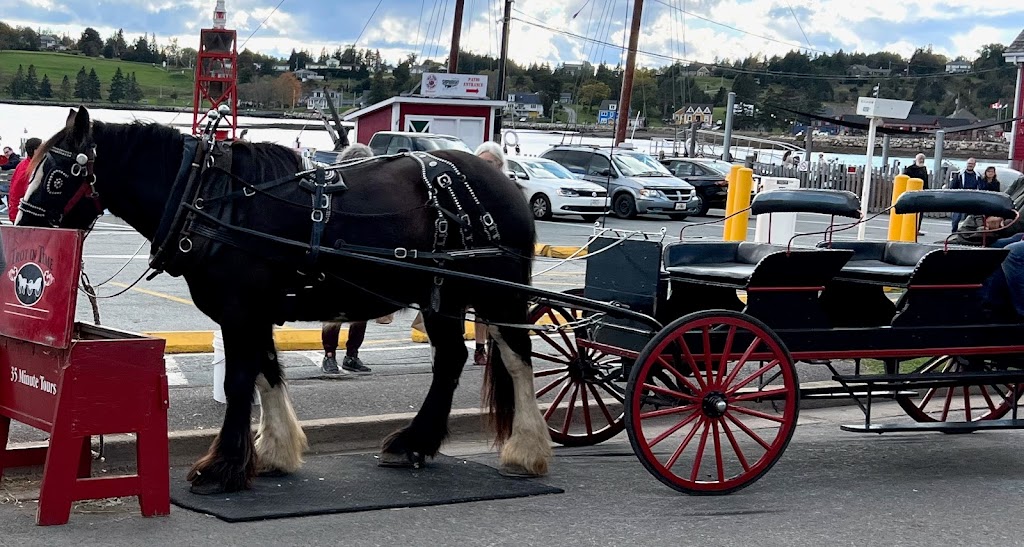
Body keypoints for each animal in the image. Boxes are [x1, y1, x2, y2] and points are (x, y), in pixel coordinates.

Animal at [18, 108, 552, 497]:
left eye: (59, 177)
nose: (26, 231)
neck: (209, 197)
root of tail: (504, 183)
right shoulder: (253, 312)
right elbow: (266, 373)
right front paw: (275, 452)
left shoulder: (241, 310)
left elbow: (239, 382)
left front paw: (222, 468)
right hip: (440, 296)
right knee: (451, 359)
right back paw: (414, 444)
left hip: (500, 292)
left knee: (518, 360)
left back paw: (526, 449)